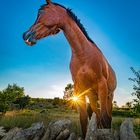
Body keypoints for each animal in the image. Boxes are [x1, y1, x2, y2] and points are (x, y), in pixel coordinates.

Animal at [23, 0, 116, 138]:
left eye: (41, 12)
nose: (26, 35)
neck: (83, 54)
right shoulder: (79, 89)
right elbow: (84, 120)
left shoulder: (102, 85)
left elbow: (104, 119)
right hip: (93, 96)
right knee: (97, 116)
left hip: (109, 97)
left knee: (107, 118)